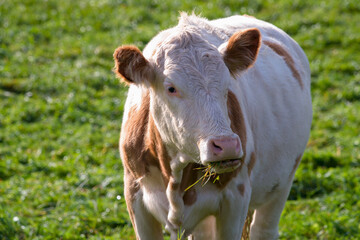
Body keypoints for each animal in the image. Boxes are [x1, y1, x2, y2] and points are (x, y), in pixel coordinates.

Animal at [113, 12, 312, 240]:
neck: (175, 174)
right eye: (171, 88)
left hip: (282, 184)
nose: (226, 145)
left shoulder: (236, 196)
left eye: (228, 85)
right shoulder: (134, 193)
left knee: (263, 228)